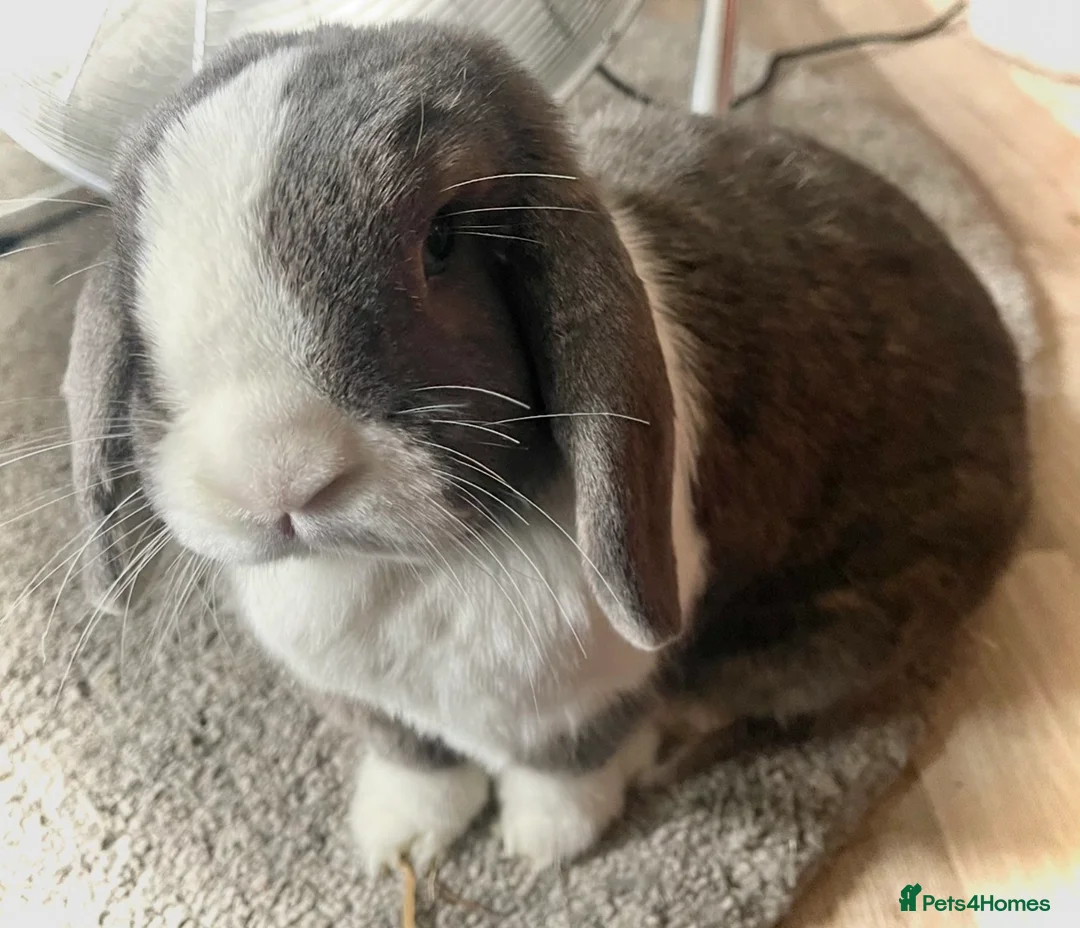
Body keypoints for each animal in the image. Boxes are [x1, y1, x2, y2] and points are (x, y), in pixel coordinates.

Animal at [62, 20, 1029, 875]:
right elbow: (418, 763)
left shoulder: (597, 690)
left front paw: (544, 848)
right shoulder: (372, 705)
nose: (276, 476)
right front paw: (399, 844)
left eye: (443, 243)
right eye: (138, 259)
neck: (411, 569)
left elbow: (568, 765)